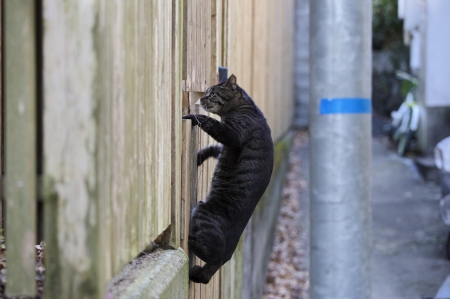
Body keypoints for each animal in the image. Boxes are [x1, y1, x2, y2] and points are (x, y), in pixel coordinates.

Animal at [181, 75, 272, 286]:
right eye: (206, 93)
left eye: (212, 94)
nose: (201, 99)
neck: (245, 107)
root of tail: (228, 255)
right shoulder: (224, 148)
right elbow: (211, 149)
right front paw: (201, 155)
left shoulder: (232, 136)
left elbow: (209, 123)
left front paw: (192, 116)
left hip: (201, 212)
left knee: (213, 257)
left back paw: (190, 242)